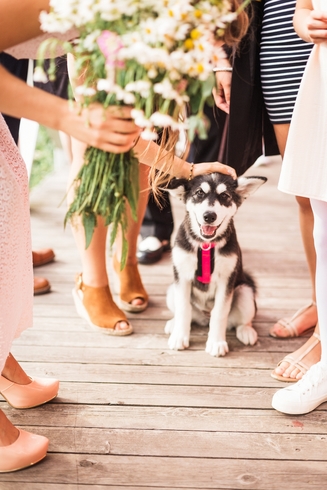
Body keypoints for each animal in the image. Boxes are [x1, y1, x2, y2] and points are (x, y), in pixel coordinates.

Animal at [167, 172, 266, 356]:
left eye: (225, 196)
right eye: (199, 193)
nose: (209, 216)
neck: (205, 244)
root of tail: (204, 318)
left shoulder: (226, 280)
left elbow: (219, 313)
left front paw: (216, 342)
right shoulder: (181, 277)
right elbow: (183, 308)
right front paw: (179, 337)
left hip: (245, 291)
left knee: (241, 320)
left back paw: (246, 331)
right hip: (171, 290)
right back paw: (173, 323)